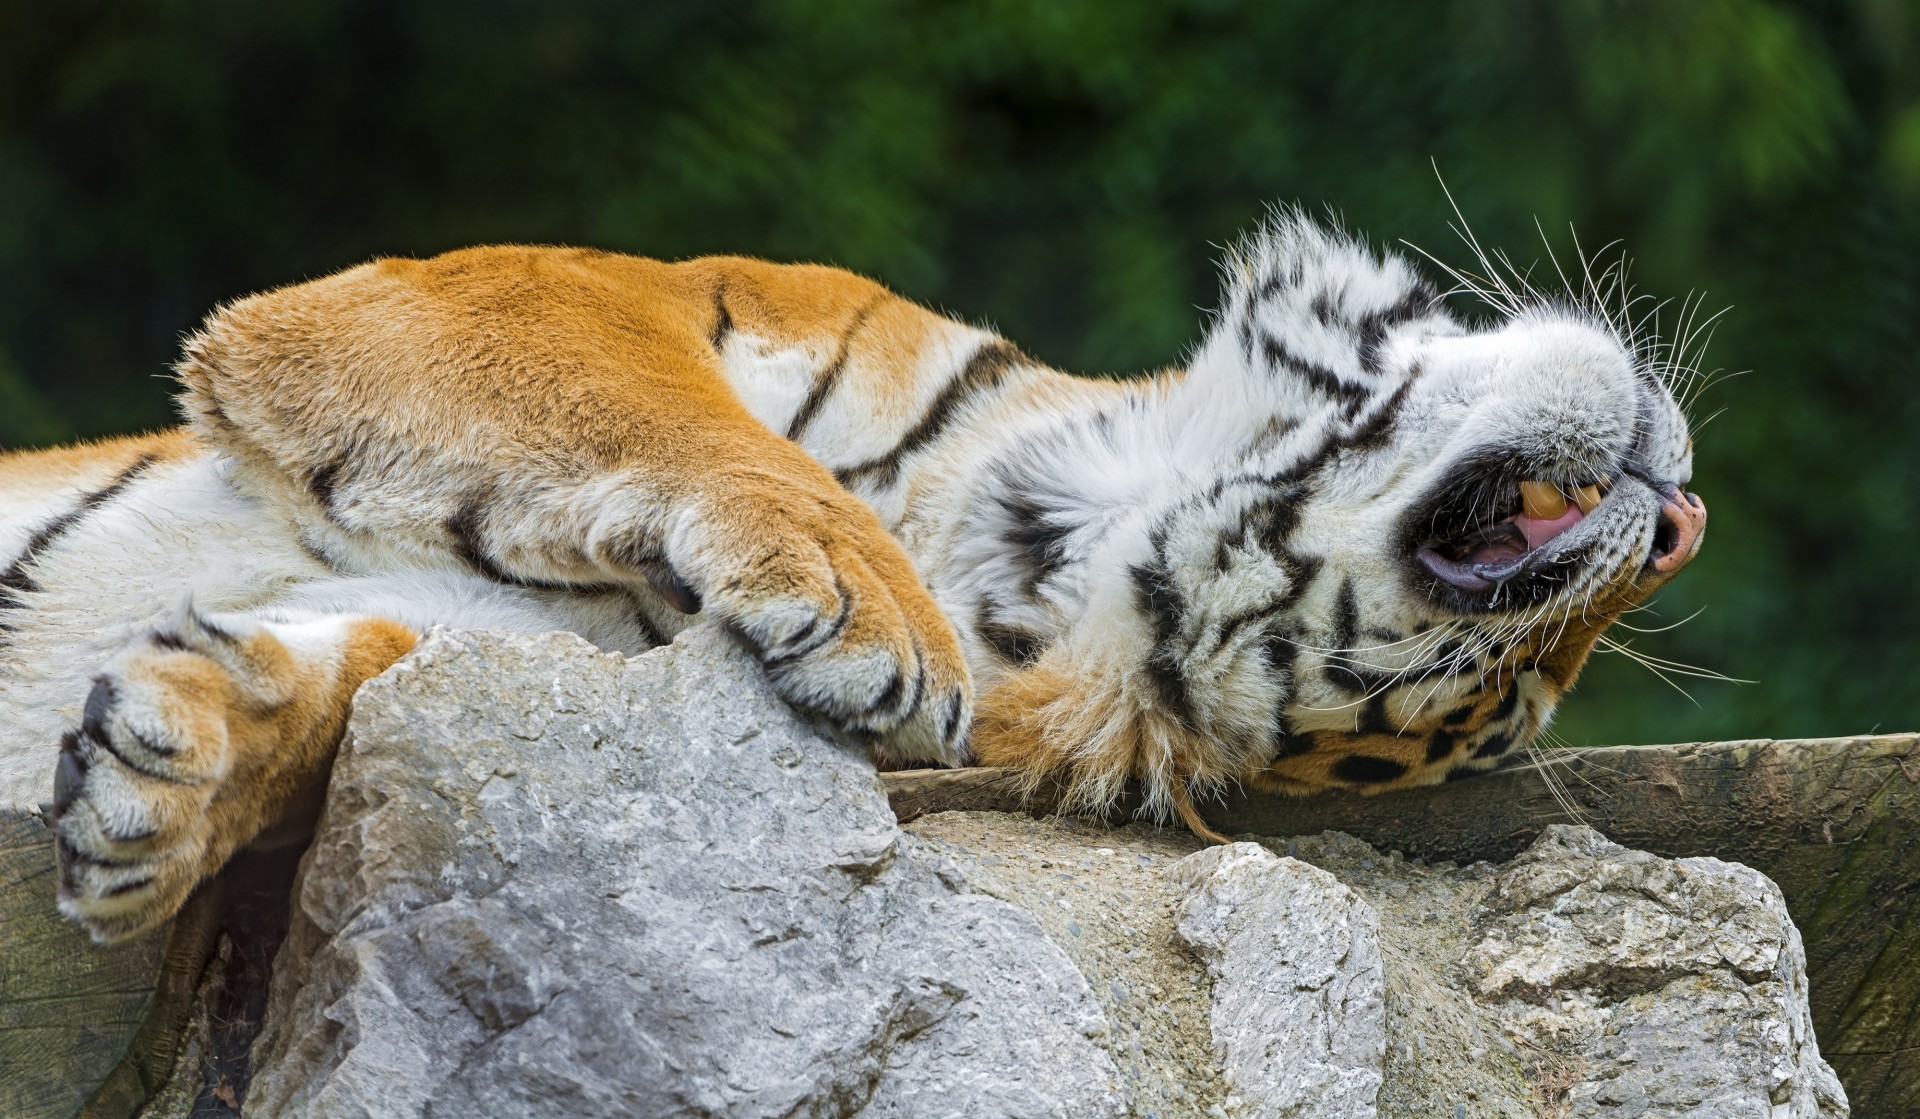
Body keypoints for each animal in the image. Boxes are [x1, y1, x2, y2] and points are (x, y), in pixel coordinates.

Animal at [0, 212, 1712, 944]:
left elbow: (367, 668)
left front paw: (172, 776)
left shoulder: (555, 646)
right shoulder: (502, 290)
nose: (1683, 523)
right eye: (1539, 668)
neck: (1030, 542)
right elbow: (683, 418)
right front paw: (871, 602)